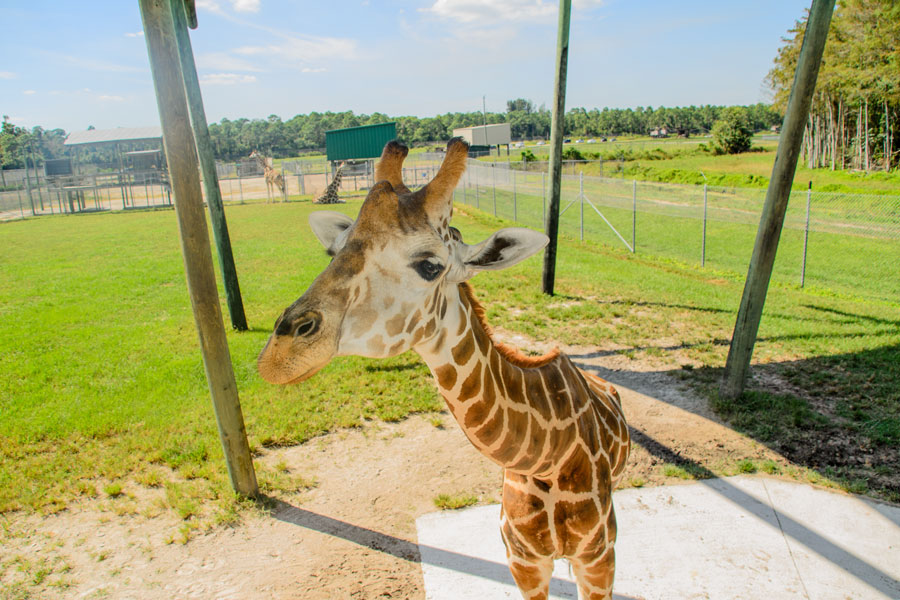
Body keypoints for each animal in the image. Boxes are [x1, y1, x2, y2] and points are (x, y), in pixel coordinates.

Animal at [257, 138, 630, 600]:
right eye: (334, 250)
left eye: (430, 266)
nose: (278, 355)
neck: (547, 461)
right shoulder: (523, 561)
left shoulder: (598, 560)